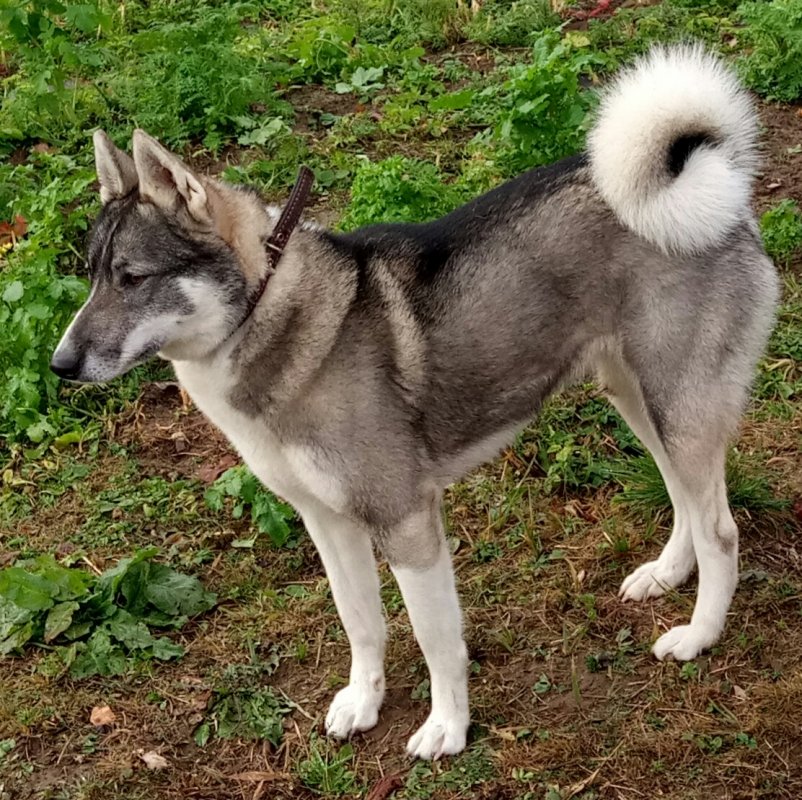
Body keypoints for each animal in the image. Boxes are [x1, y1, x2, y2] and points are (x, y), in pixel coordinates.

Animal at [51, 47, 779, 759]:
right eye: (90, 274)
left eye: (133, 278)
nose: (60, 365)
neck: (273, 317)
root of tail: (721, 187)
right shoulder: (328, 524)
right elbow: (360, 622)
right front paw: (364, 701)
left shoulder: (407, 524)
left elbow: (436, 641)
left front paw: (448, 728)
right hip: (641, 399)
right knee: (682, 496)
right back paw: (667, 573)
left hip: (676, 403)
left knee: (720, 529)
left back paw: (699, 634)